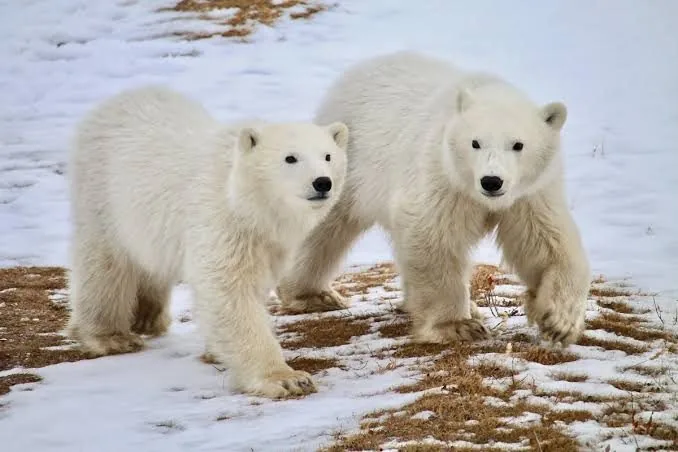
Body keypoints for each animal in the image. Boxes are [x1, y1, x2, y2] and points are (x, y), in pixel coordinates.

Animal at [66, 85, 349, 398]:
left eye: (327, 156)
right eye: (290, 158)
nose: (322, 182)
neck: (248, 203)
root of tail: (120, 99)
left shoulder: (268, 241)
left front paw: (216, 351)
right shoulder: (221, 219)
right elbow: (229, 289)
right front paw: (287, 378)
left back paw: (147, 316)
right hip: (102, 192)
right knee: (105, 263)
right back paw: (111, 336)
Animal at [277, 51, 591, 346]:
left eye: (518, 145)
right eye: (475, 143)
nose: (491, 181)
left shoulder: (530, 192)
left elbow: (545, 242)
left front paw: (559, 321)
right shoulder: (442, 175)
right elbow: (433, 236)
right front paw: (457, 326)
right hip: (344, 160)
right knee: (324, 223)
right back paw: (313, 294)